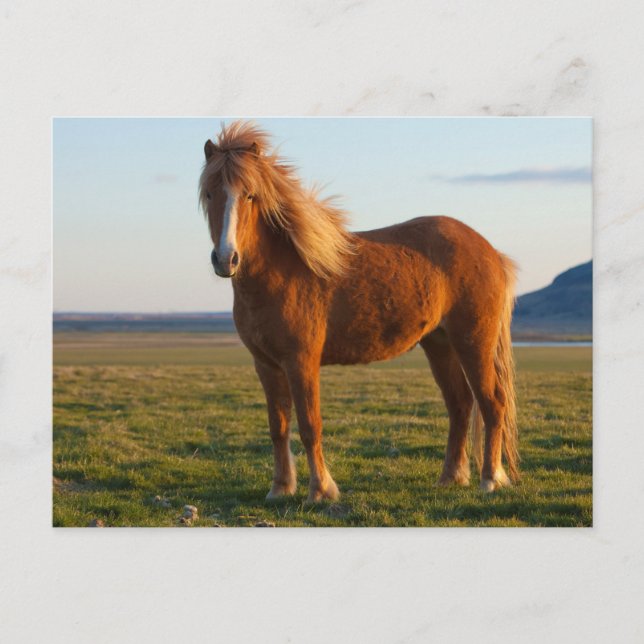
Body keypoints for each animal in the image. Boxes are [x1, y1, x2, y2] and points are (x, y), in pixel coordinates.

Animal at [199, 121, 519, 502]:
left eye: (250, 195)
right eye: (209, 194)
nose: (225, 259)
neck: (280, 271)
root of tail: (489, 251)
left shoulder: (301, 361)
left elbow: (309, 425)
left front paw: (320, 490)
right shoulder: (265, 364)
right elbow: (278, 426)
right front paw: (280, 488)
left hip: (474, 342)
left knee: (492, 403)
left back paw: (490, 479)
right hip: (439, 344)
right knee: (460, 404)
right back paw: (451, 477)